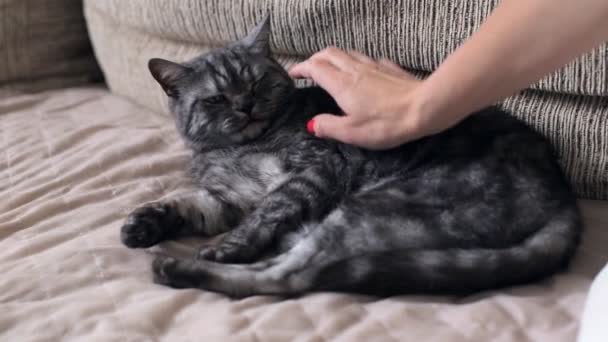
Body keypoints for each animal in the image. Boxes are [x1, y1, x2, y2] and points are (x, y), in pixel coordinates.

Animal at [121, 17, 580, 298]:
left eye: (255, 83)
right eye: (216, 99)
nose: (245, 106)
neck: (238, 149)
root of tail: (566, 200)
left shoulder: (314, 170)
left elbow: (267, 211)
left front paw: (230, 243)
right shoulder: (228, 198)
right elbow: (188, 205)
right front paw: (141, 225)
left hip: (367, 207)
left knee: (290, 277)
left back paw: (175, 268)